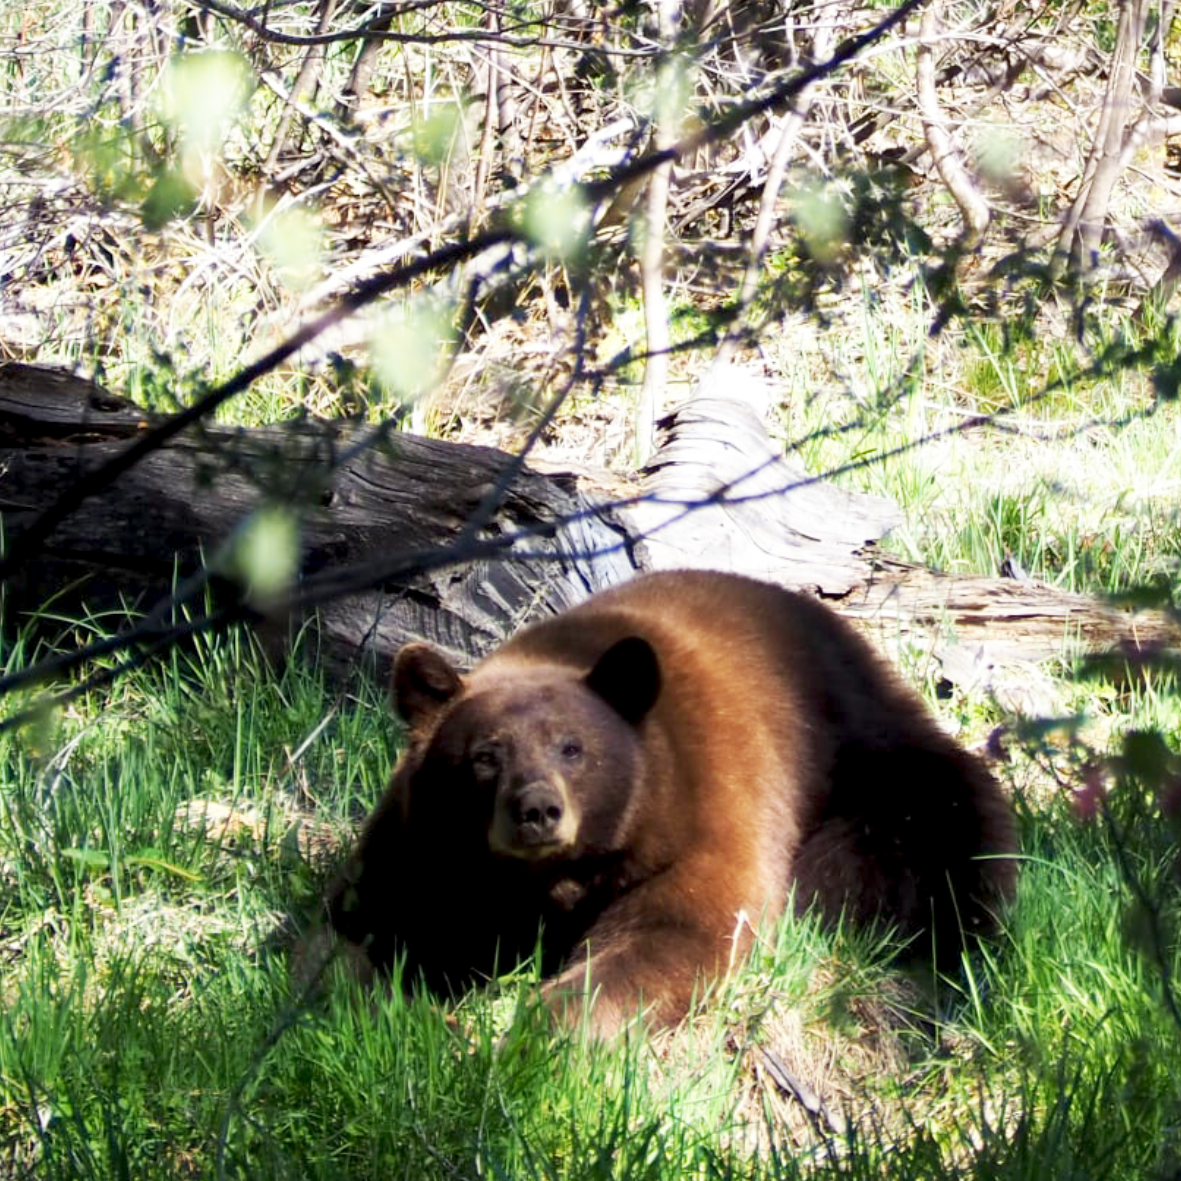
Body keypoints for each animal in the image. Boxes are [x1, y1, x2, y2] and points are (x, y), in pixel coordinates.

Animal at [324, 569, 1017, 1036]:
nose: (537, 811)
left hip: (875, 768)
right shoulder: (423, 845)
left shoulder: (700, 816)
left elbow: (679, 929)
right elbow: (381, 912)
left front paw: (543, 1022)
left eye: (572, 748)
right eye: (484, 756)